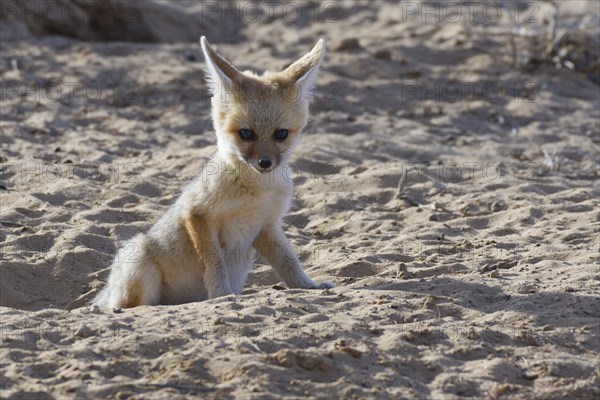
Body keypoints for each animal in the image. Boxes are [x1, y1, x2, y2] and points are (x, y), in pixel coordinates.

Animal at [96, 36, 336, 306]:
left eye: (281, 134)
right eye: (246, 133)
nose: (264, 163)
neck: (256, 192)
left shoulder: (267, 225)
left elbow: (289, 261)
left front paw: (309, 286)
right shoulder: (197, 214)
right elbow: (215, 262)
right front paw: (221, 295)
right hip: (139, 255)